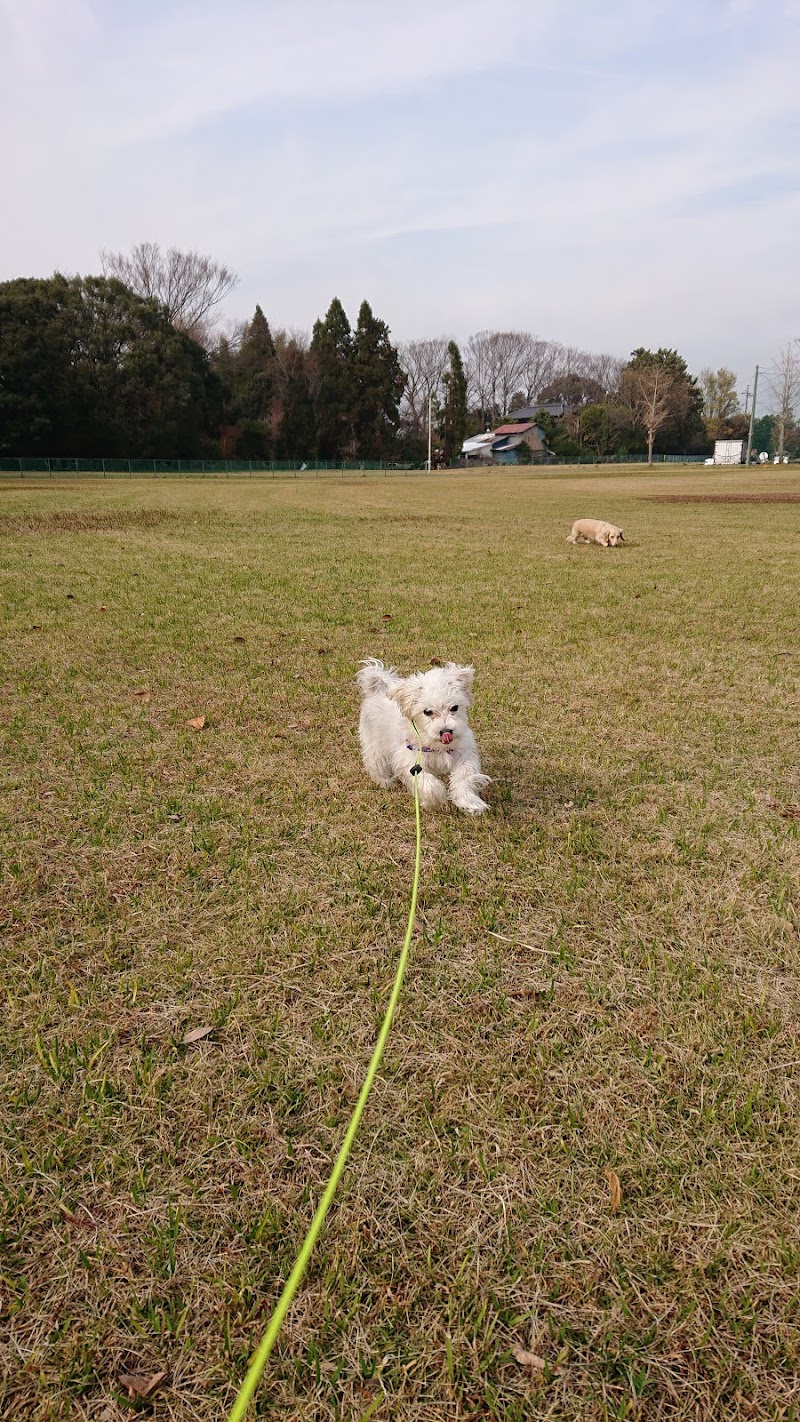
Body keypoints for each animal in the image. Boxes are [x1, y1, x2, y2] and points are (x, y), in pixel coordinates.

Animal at [355, 654, 488, 813]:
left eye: (454, 708)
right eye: (427, 712)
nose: (446, 731)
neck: (436, 746)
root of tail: (376, 691)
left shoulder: (463, 753)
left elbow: (465, 776)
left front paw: (469, 802)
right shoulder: (411, 762)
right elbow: (428, 783)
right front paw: (434, 801)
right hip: (373, 744)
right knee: (375, 763)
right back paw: (385, 781)